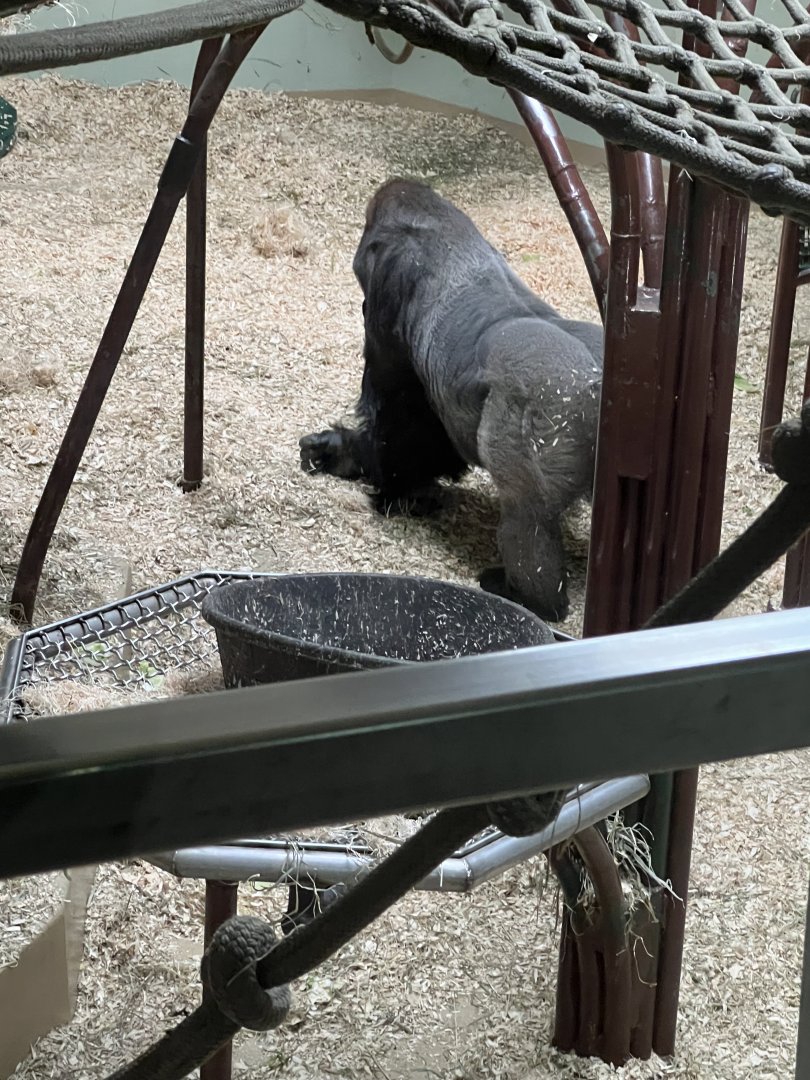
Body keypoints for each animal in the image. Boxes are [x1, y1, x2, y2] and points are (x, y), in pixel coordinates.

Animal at [300, 178, 603, 622]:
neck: (439, 225)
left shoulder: (390, 282)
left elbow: (397, 412)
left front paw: (353, 458)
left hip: (544, 407)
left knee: (527, 514)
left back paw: (529, 596)